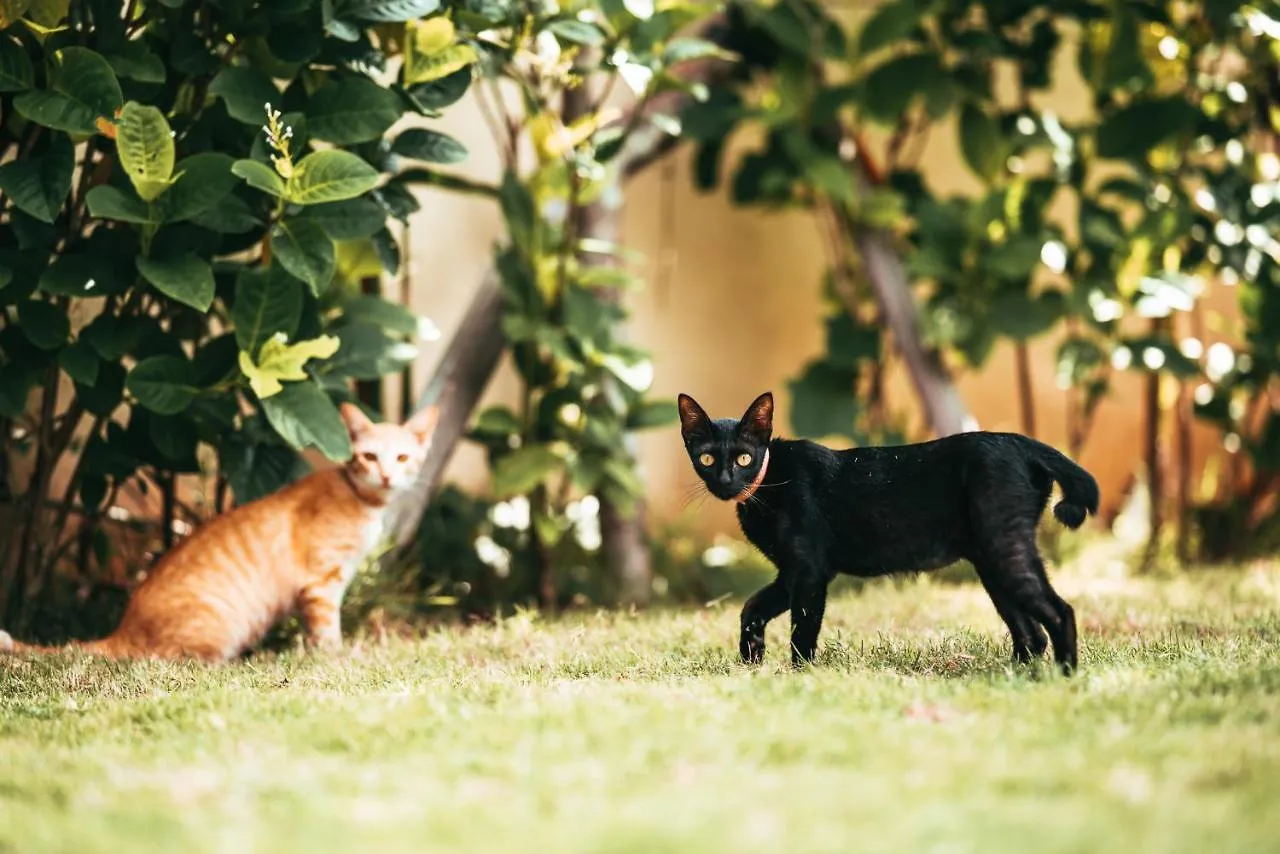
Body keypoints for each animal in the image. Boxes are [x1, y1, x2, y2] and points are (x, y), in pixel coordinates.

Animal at [0, 402, 437, 660]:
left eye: (402, 458)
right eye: (369, 456)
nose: (386, 475)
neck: (363, 501)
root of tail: (123, 628)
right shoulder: (321, 584)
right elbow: (328, 631)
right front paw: (335, 656)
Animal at [680, 391, 1100, 676]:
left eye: (744, 458)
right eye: (706, 458)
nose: (725, 480)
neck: (767, 486)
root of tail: (1022, 442)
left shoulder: (810, 572)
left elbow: (803, 632)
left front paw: (800, 678)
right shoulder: (790, 573)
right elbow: (752, 607)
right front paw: (751, 657)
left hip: (1003, 548)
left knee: (1059, 612)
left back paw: (1064, 677)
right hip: (991, 562)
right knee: (1030, 633)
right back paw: (1016, 677)